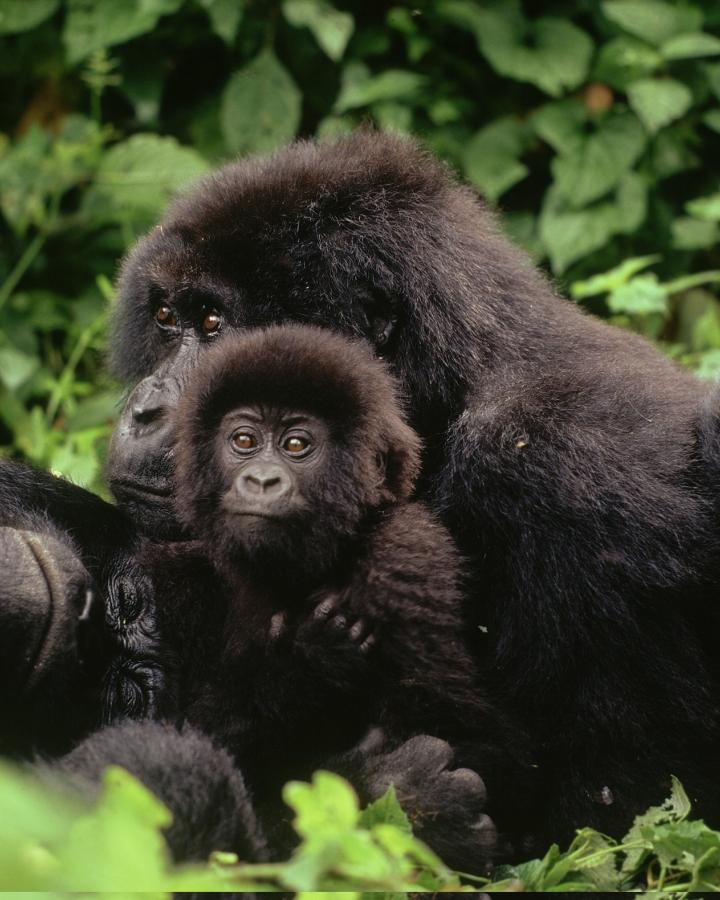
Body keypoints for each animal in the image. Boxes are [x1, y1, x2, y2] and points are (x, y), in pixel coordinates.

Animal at [153, 326, 516, 864]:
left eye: (296, 445)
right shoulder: (169, 577)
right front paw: (305, 668)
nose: (261, 479)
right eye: (244, 441)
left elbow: (479, 740)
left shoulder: (407, 556)